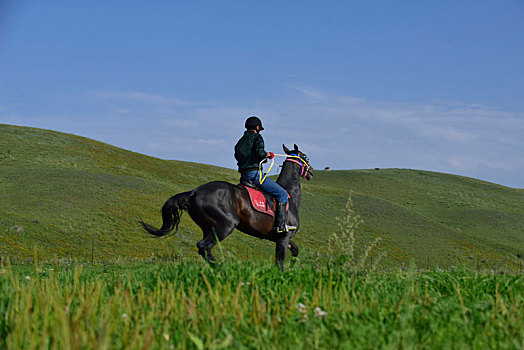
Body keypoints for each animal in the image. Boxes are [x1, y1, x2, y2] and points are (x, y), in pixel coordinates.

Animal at [139, 144, 314, 270]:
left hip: (208, 228)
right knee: (203, 246)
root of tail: (195, 191)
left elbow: (295, 250)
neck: (289, 195)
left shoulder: (281, 238)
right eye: (305, 157)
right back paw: (219, 268)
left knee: (204, 248)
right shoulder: (283, 238)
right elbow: (280, 261)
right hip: (225, 226)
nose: (312, 171)